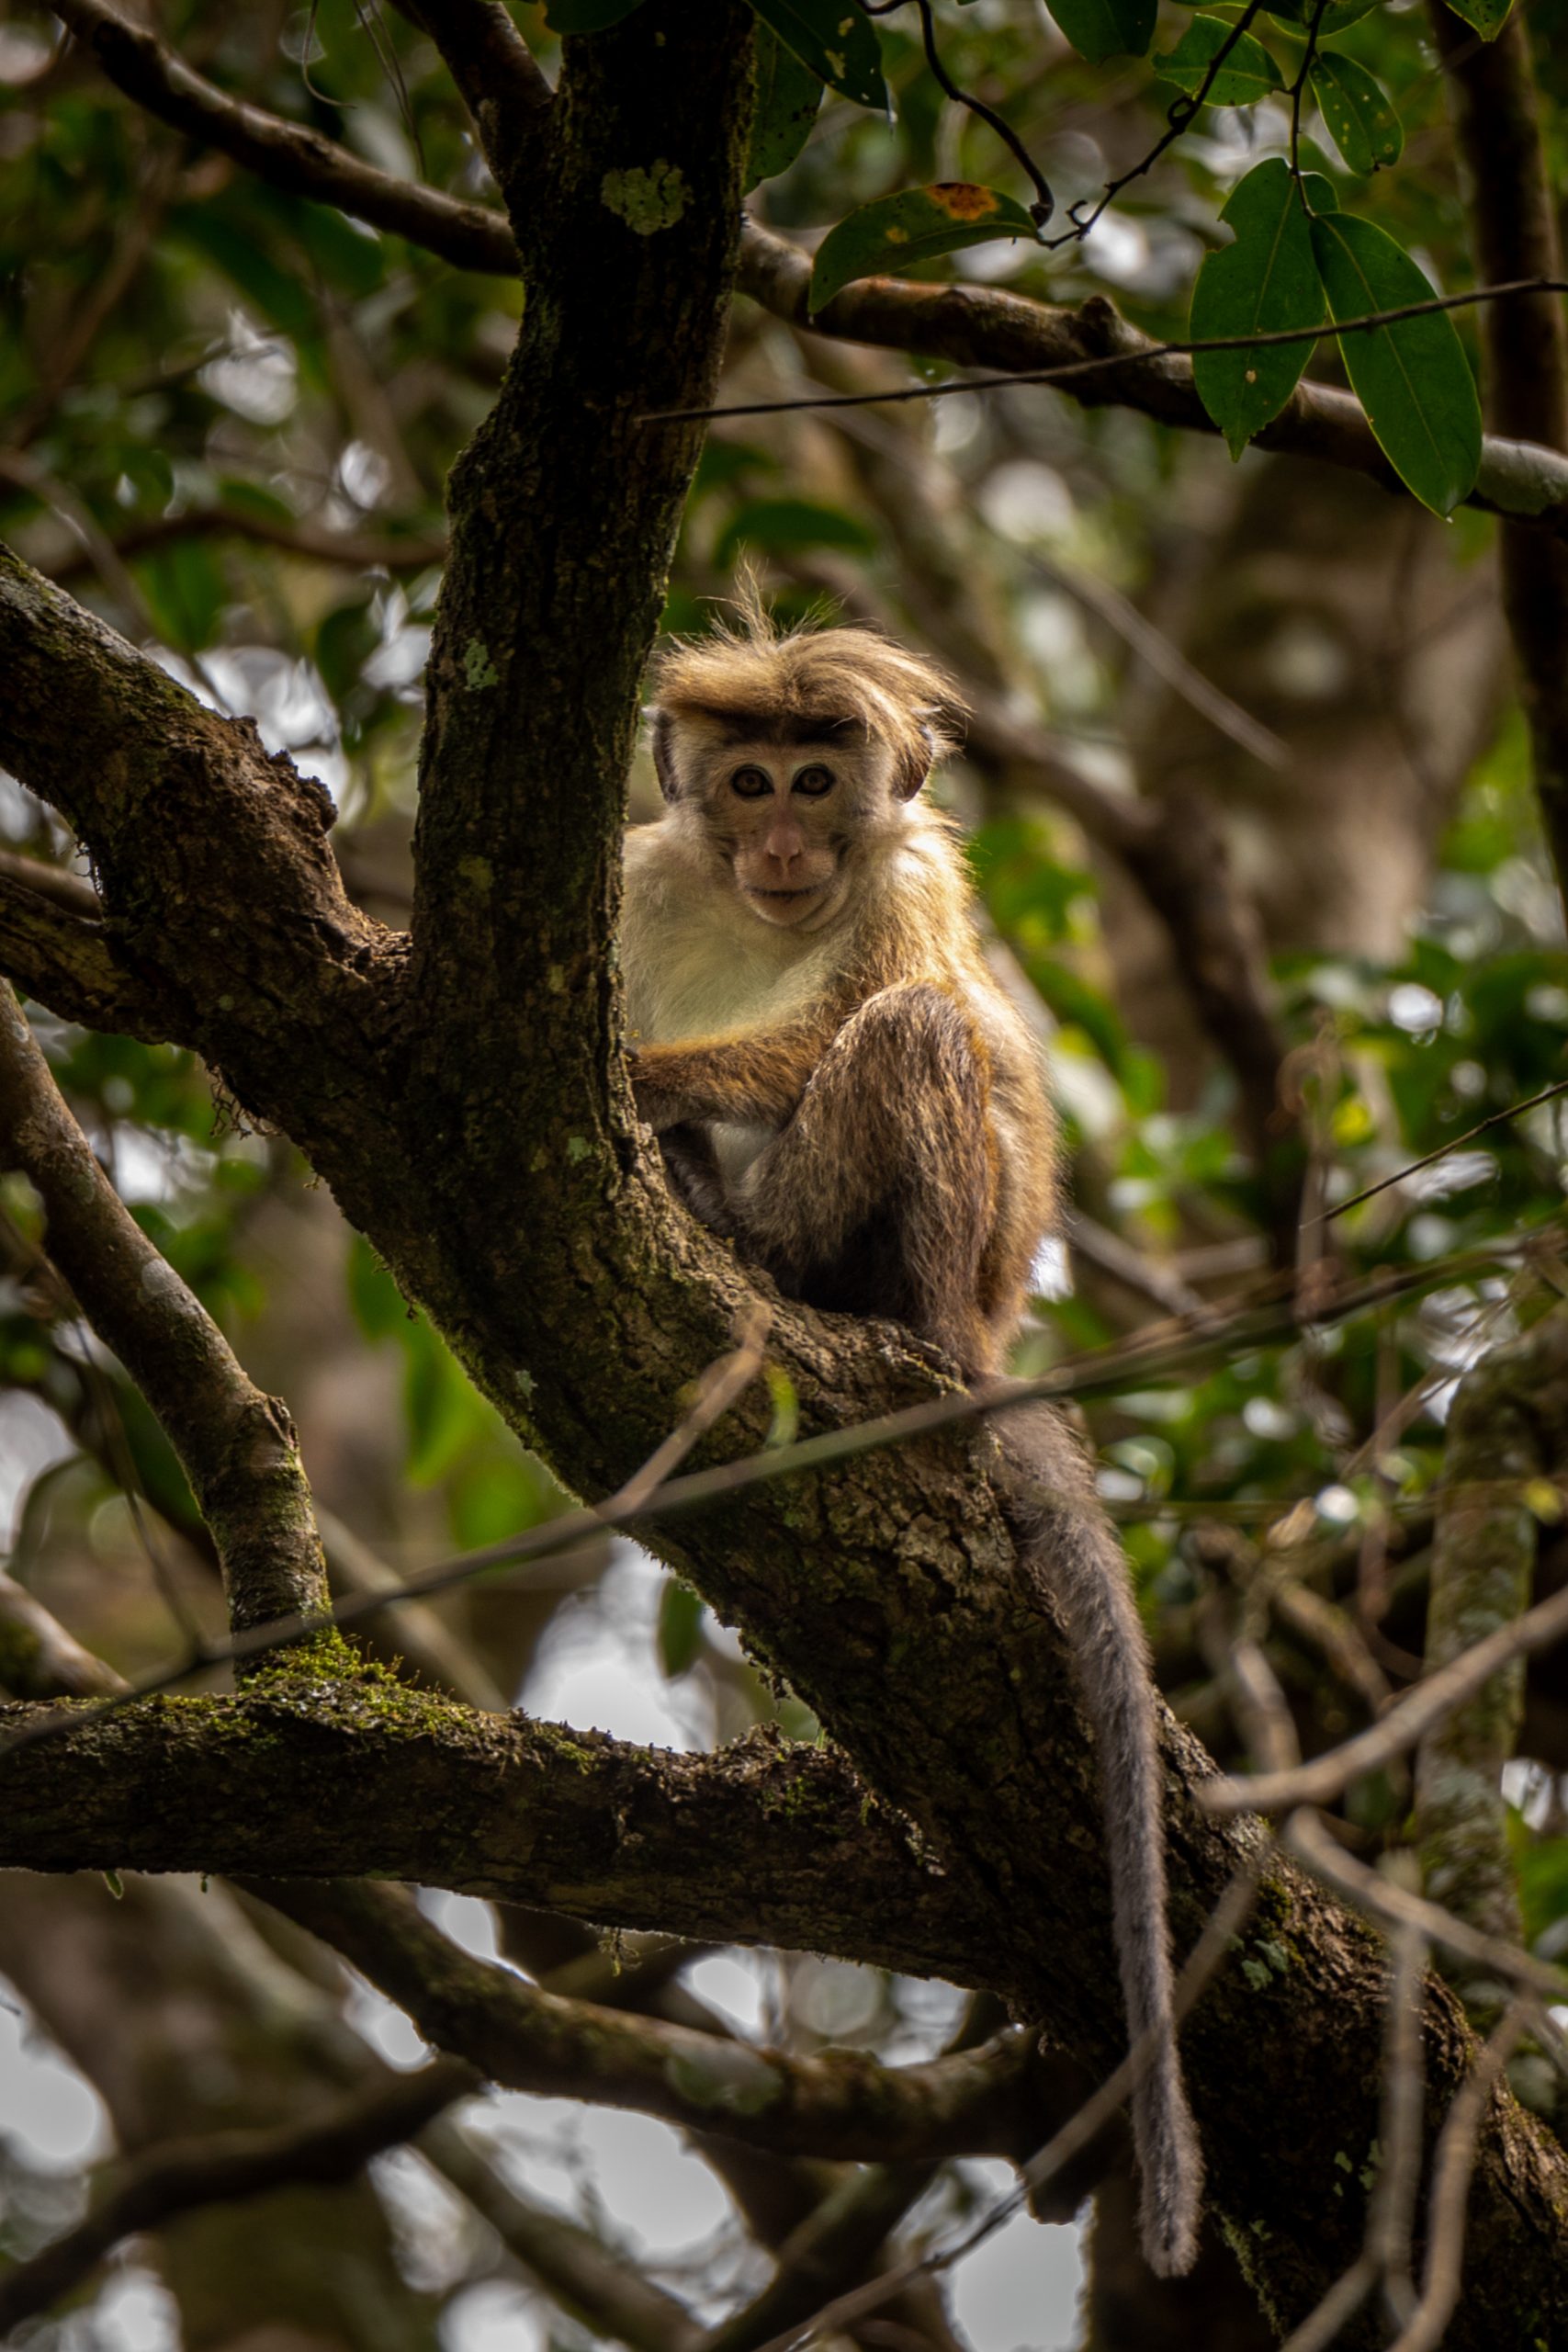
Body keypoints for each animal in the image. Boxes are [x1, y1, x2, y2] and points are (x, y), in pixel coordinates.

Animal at [620, 597, 1202, 2280]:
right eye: (748, 782)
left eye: (820, 783)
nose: (780, 843)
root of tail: (988, 1331)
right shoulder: (646, 873)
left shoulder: (906, 874)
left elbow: (857, 1010)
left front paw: (647, 1085)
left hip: (927, 1257)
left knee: (919, 1027)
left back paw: (804, 1266)